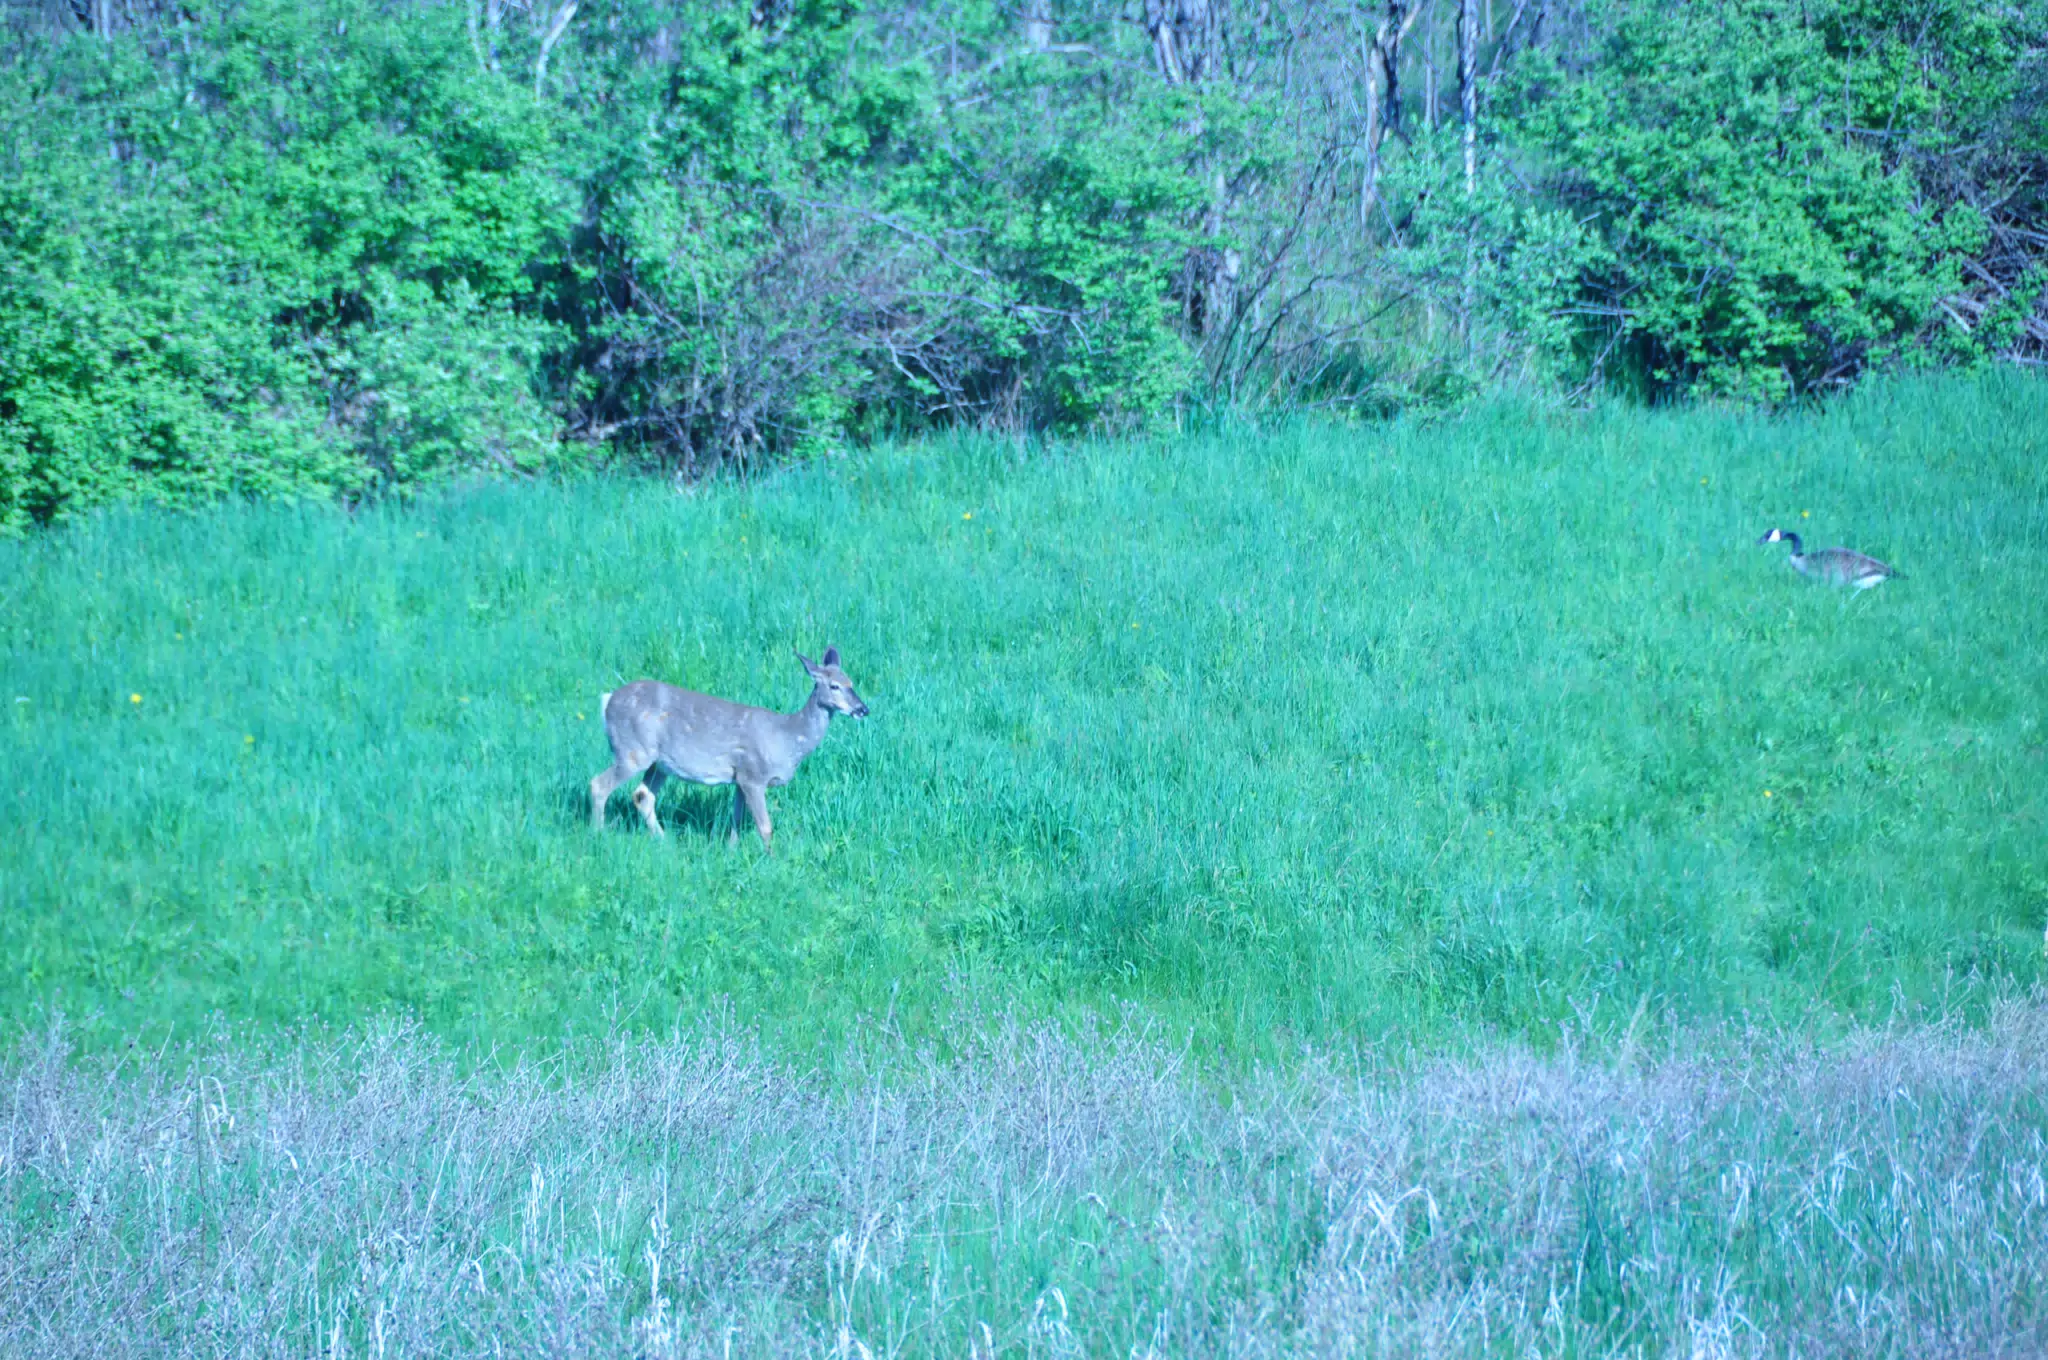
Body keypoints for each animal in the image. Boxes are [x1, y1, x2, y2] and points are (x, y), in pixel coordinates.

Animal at [590, 647, 869, 852]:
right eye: (834, 686)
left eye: (852, 682)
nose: (863, 709)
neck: (788, 738)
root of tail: (607, 701)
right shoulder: (754, 775)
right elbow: (765, 826)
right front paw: (771, 859)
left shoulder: (740, 777)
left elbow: (736, 819)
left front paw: (731, 851)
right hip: (633, 751)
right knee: (599, 784)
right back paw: (598, 834)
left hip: (660, 763)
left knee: (642, 795)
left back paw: (662, 840)